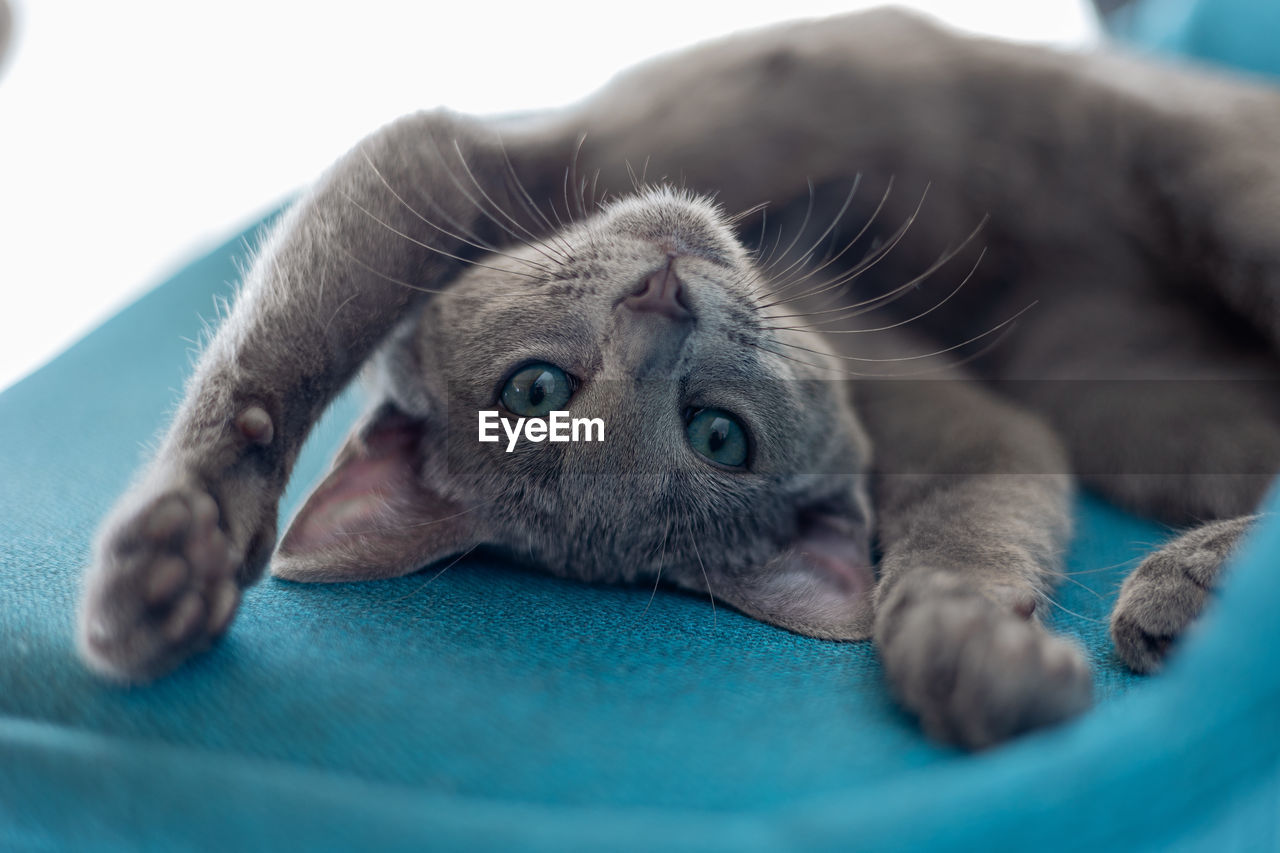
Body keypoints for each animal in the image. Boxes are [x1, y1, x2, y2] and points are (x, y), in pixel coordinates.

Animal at [74, 11, 1274, 742]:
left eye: (713, 431)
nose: (660, 302)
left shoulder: (462, 160)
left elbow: (292, 330)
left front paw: (179, 543)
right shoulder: (934, 404)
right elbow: (983, 499)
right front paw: (968, 650)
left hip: (1217, 188)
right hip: (1126, 393)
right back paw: (1186, 592)